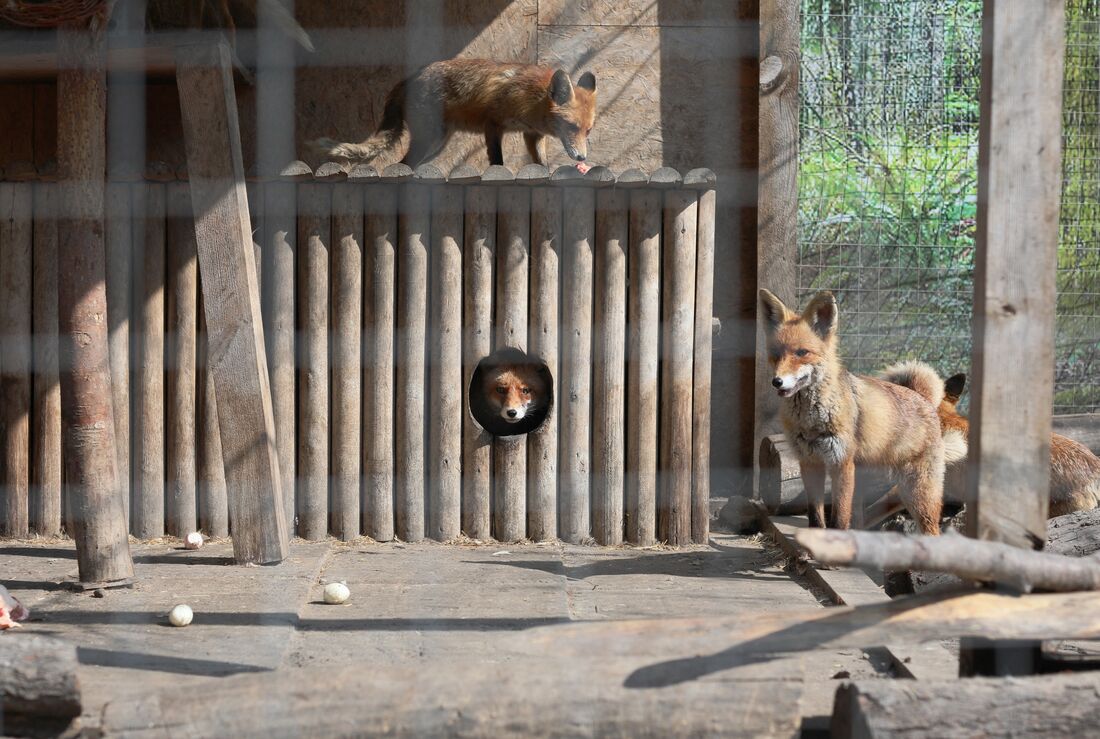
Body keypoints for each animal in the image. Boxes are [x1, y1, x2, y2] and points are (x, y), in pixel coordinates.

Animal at [310, 59, 598, 171]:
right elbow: (497, 161)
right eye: (572, 127)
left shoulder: (532, 134)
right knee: (402, 164)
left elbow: (541, 163)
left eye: (588, 130)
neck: (531, 99)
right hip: (429, 140)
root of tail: (408, 78)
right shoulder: (493, 124)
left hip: (436, 145)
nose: (582, 157)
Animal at [756, 285, 946, 534]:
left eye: (802, 352)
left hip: (918, 495)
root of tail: (922, 396)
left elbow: (838, 520)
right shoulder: (809, 462)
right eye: (776, 354)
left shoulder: (841, 462)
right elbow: (815, 516)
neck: (811, 421)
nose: (776, 381)